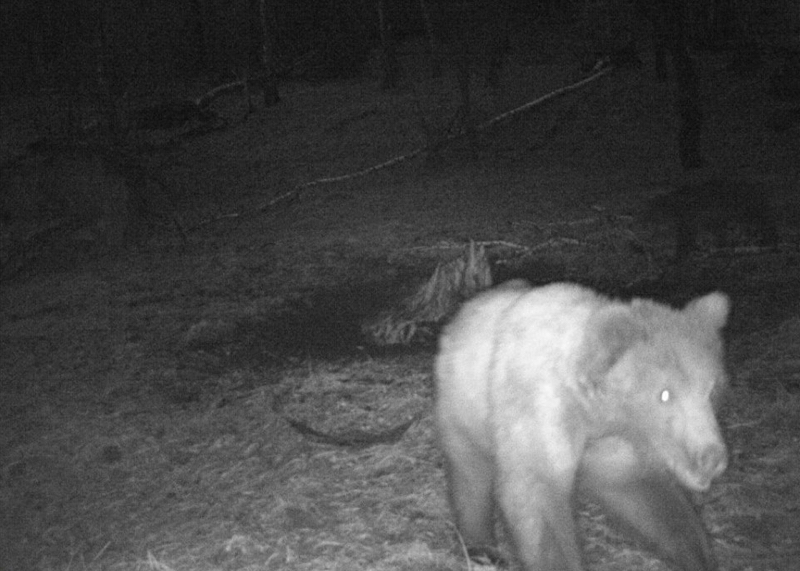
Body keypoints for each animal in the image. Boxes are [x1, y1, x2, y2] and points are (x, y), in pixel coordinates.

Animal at [434, 280, 729, 571]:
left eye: (712, 389)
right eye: (665, 394)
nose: (712, 458)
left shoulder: (612, 442)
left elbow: (647, 498)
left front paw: (699, 554)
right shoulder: (542, 410)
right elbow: (538, 498)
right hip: (466, 407)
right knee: (470, 475)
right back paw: (480, 547)